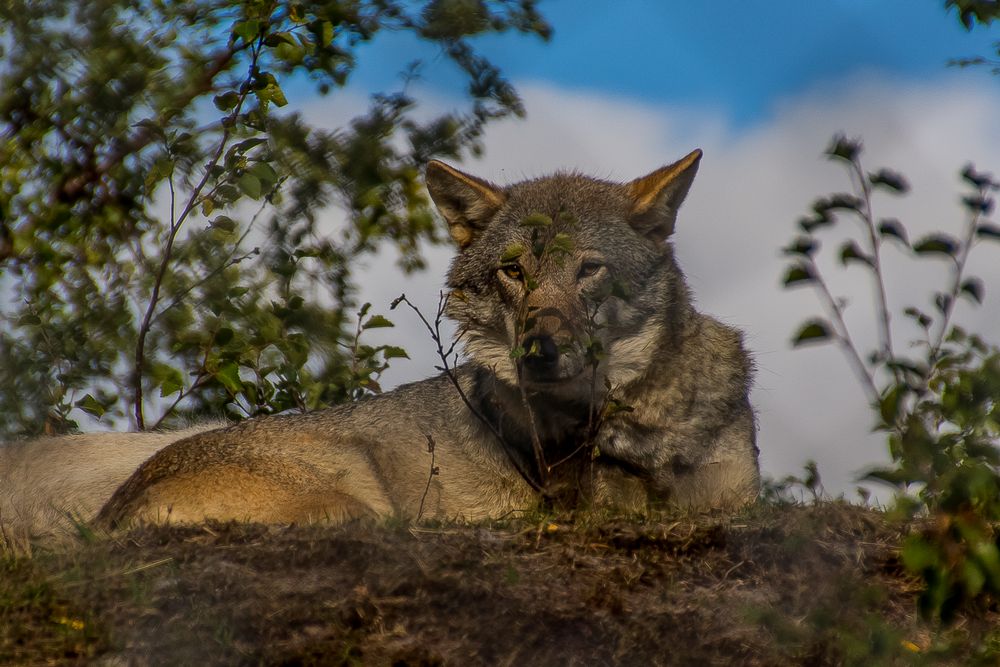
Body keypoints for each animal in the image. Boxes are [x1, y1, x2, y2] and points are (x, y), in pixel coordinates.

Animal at [3, 150, 760, 536]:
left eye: (588, 270)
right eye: (514, 271)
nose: (538, 352)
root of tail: (117, 504)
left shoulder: (735, 498)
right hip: (356, 505)